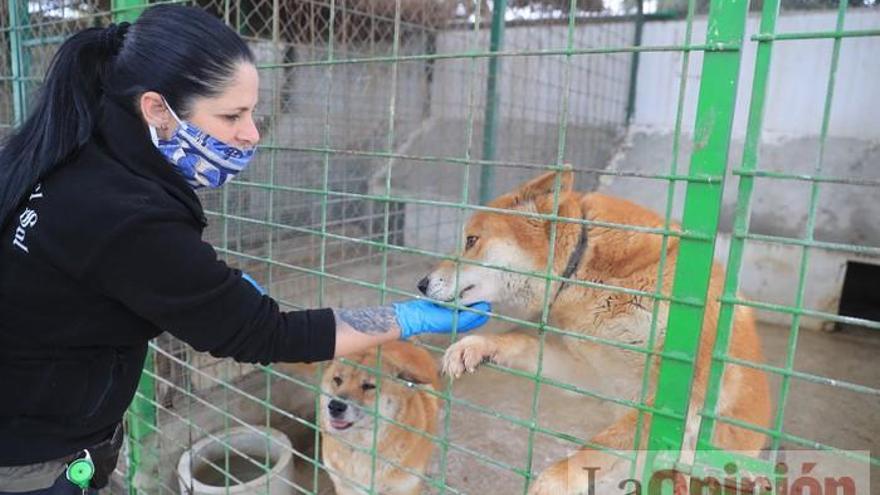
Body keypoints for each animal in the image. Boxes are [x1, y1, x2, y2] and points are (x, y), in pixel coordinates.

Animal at [420, 169, 768, 494]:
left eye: (471, 241)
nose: (421, 283)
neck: (588, 269)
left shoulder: (681, 396)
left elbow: (601, 445)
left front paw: (552, 482)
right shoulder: (592, 374)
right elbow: (522, 342)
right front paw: (476, 346)